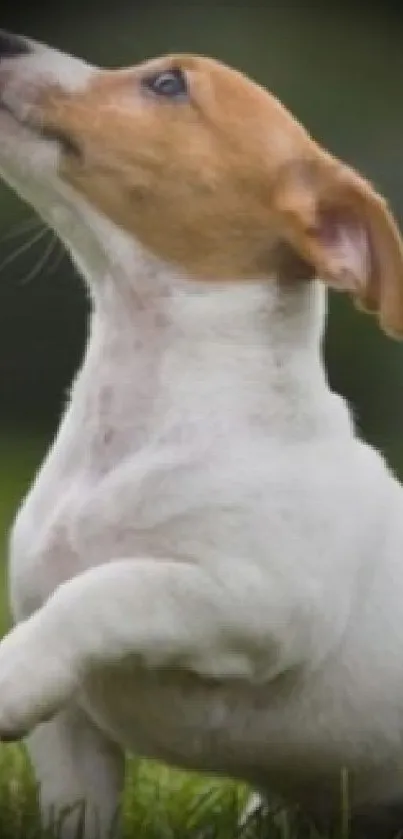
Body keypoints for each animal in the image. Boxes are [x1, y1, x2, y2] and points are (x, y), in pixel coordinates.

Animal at [0, 27, 403, 839]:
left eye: (168, 85)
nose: (5, 40)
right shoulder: (71, 736)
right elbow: (73, 805)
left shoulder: (247, 605)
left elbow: (108, 588)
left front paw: (7, 677)